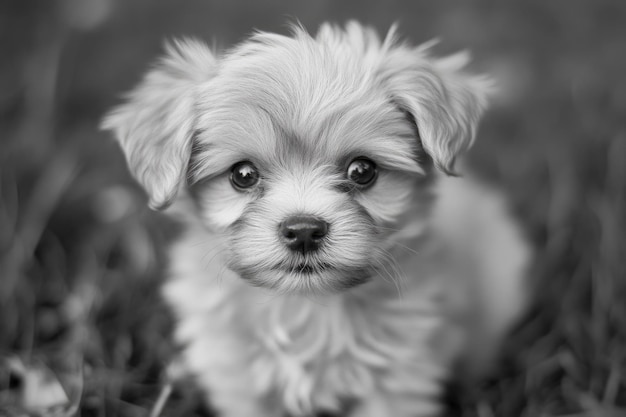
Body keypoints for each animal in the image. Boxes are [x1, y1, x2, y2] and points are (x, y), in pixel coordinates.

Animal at [101, 22, 528, 416]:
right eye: (243, 174)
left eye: (362, 170)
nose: (304, 231)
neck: (305, 308)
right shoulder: (238, 381)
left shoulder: (402, 377)